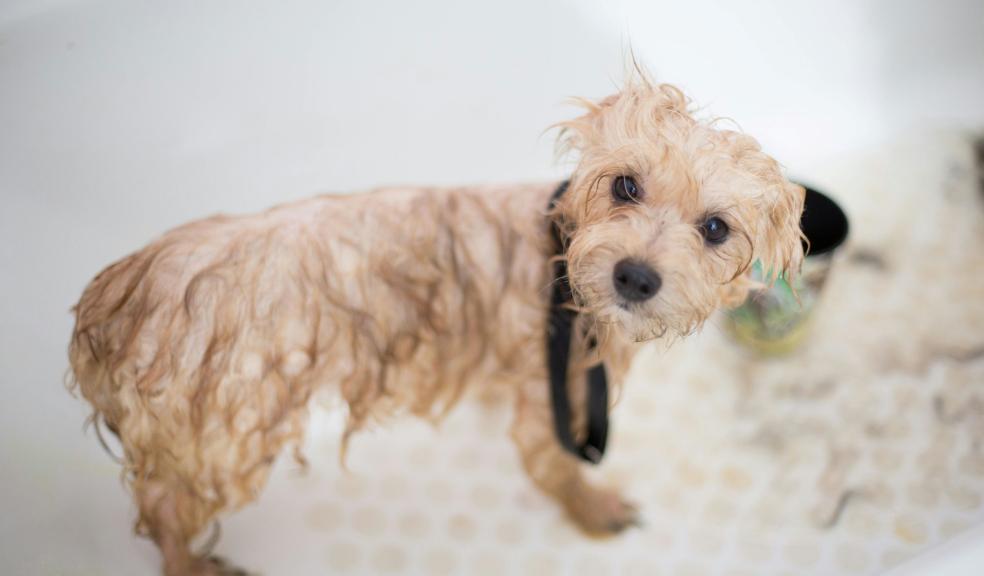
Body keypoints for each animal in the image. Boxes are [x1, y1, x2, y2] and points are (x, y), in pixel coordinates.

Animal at [69, 79, 808, 572]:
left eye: (716, 229)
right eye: (625, 185)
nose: (635, 275)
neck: (561, 258)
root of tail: (113, 302)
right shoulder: (553, 390)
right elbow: (555, 468)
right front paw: (593, 510)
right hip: (222, 439)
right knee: (165, 514)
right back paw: (191, 563)